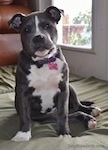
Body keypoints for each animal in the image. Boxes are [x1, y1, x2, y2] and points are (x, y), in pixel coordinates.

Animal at [8, 6, 101, 142]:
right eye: (26, 29)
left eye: (47, 25)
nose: (38, 37)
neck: (43, 61)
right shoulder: (23, 93)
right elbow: (25, 116)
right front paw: (22, 135)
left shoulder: (63, 90)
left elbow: (63, 114)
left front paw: (64, 133)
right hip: (44, 115)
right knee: (70, 113)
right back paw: (88, 119)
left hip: (70, 87)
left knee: (76, 107)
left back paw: (90, 111)